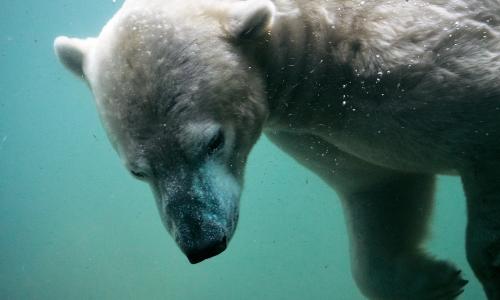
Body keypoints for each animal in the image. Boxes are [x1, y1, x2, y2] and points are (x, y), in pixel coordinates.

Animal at [53, 0, 500, 298]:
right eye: (138, 170)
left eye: (214, 141)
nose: (202, 243)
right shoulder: (322, 127)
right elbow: (376, 182)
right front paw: (431, 280)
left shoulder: (411, 59)